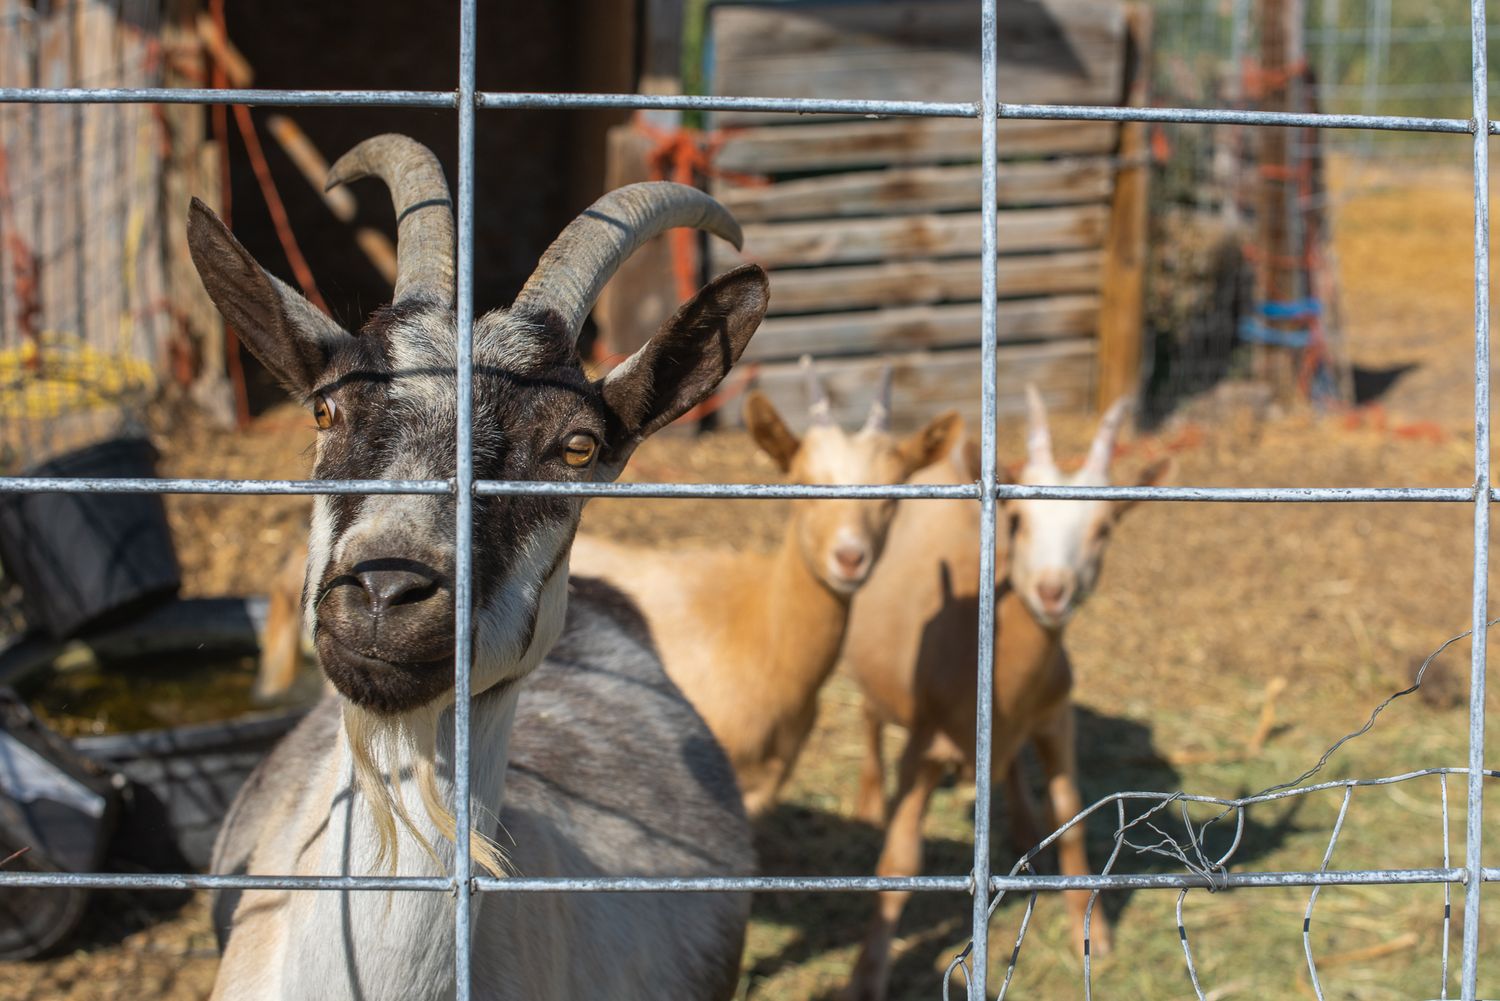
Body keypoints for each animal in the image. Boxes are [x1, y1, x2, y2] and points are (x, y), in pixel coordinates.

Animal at [838, 387, 1171, 1001]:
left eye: (1105, 527)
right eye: (1017, 519)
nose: (1051, 591)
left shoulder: (1056, 717)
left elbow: (1073, 816)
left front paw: (1093, 932)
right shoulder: (924, 745)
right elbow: (900, 859)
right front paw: (866, 978)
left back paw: (1021, 820)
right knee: (870, 716)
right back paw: (870, 797)